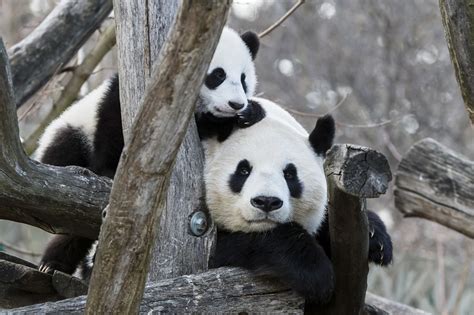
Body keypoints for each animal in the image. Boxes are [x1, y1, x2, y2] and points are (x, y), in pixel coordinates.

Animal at [37, 26, 260, 274]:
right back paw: (52, 264)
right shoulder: (130, 98)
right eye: (218, 75)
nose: (236, 104)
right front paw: (110, 172)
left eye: (243, 79)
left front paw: (248, 114)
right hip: (71, 136)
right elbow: (113, 128)